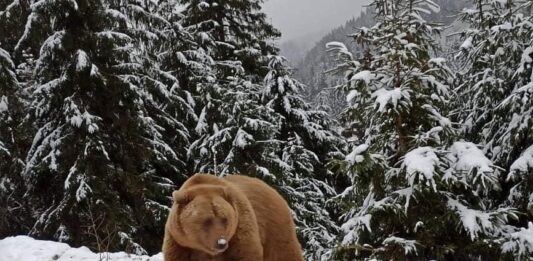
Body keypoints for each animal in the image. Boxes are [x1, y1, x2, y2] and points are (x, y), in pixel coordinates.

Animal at [162, 173, 304, 260]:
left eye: (224, 219)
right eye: (207, 220)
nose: (221, 243)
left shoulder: (239, 234)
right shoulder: (180, 244)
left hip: (274, 229)